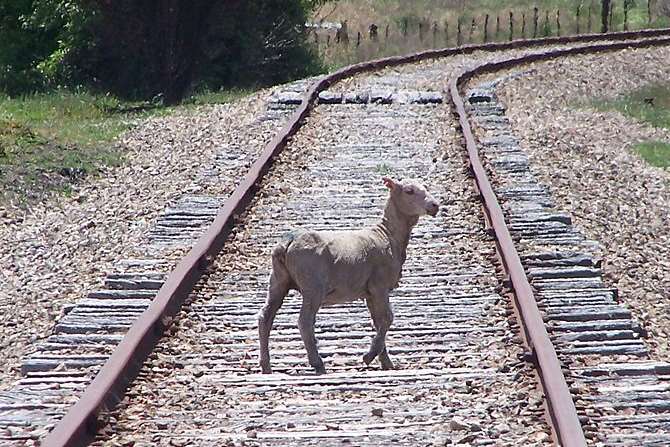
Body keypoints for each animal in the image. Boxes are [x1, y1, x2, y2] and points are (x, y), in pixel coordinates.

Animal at [258, 178, 440, 374]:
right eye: (409, 191)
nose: (435, 205)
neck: (388, 235)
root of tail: (287, 244)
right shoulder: (379, 285)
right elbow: (388, 318)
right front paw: (369, 356)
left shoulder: (369, 292)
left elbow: (378, 321)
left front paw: (385, 362)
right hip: (313, 284)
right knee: (304, 321)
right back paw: (317, 363)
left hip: (278, 280)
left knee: (265, 317)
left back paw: (266, 365)